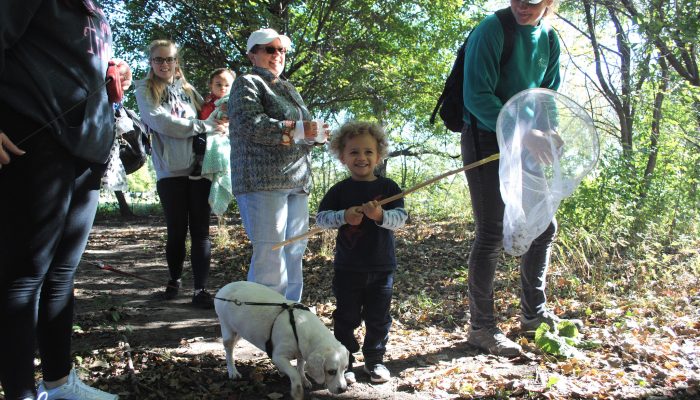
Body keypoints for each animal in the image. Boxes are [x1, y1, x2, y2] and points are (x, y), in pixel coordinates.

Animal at [215, 282, 348, 400]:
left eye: (345, 368)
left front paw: (304, 379)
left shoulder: (302, 352)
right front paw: (297, 391)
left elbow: (300, 367)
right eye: (331, 371)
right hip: (228, 330)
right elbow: (294, 373)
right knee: (228, 351)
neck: (299, 325)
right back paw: (232, 371)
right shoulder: (278, 357)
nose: (343, 389)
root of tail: (221, 291)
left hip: (239, 331)